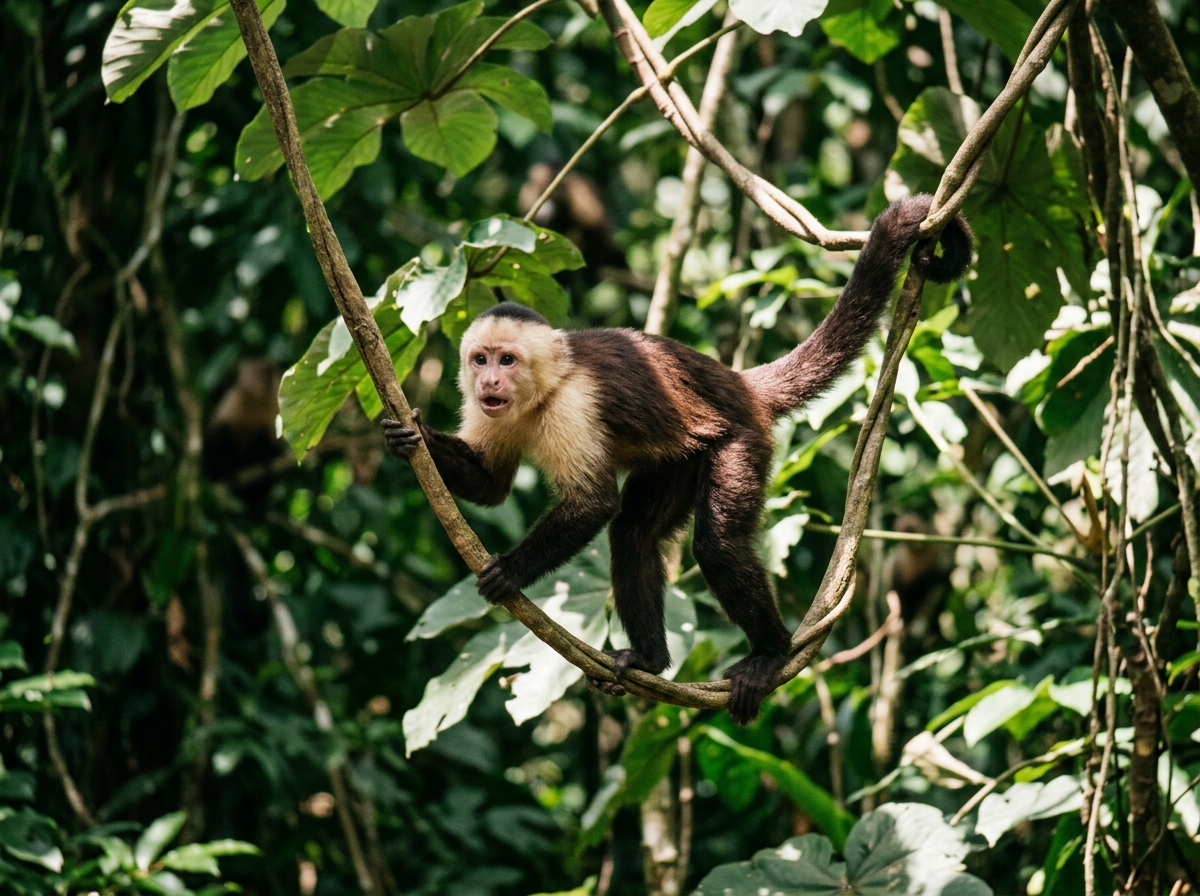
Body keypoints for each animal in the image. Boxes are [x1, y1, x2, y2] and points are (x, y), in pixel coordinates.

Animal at [381, 195, 972, 724]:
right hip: (681, 458)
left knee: (716, 544)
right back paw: (649, 659)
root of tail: (738, 383)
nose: (489, 381)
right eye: (480, 360)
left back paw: (770, 653)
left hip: (739, 440)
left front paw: (510, 571)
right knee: (635, 533)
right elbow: (491, 486)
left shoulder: (575, 404)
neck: (541, 394)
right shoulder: (490, 412)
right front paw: (408, 435)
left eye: (508, 359)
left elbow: (593, 503)